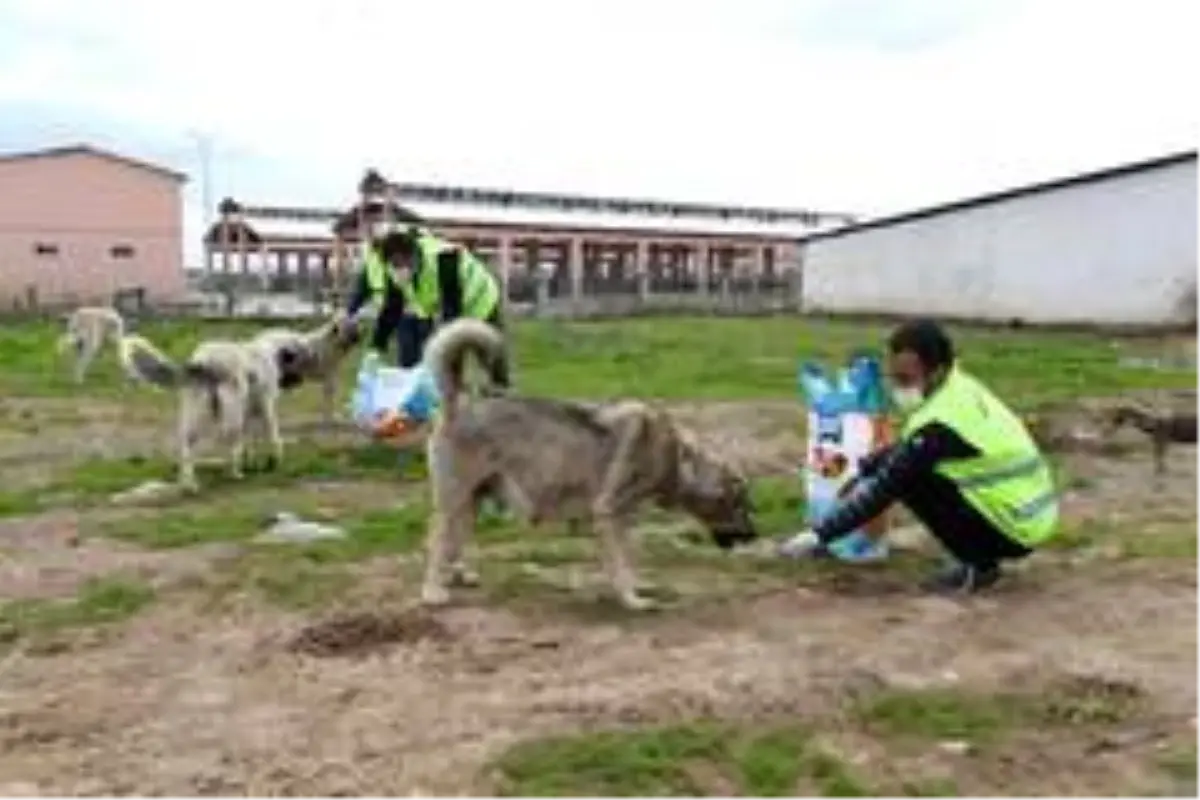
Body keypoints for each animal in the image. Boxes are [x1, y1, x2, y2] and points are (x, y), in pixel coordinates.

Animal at [417, 316, 753, 609]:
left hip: (471, 502)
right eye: (740, 505)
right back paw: (433, 592)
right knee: (436, 541)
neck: (676, 458)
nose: (754, 536)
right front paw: (632, 600)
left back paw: (456, 577)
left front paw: (637, 586)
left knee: (453, 543)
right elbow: (620, 565)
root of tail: (456, 406)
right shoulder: (608, 514)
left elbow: (628, 559)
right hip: (454, 500)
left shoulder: (623, 520)